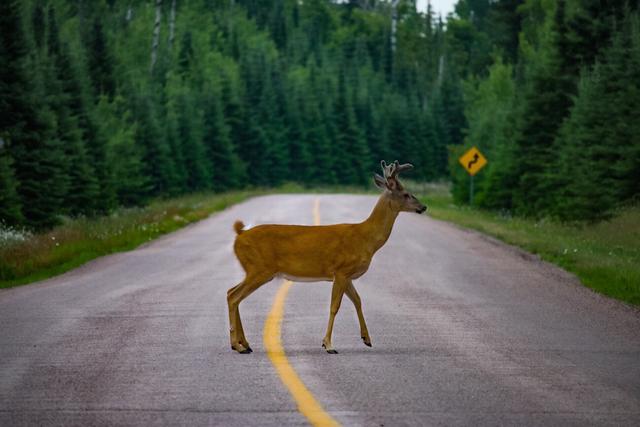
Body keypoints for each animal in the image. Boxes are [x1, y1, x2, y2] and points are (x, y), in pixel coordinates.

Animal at [227, 160, 427, 354]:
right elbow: (334, 306)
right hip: (259, 268)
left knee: (231, 292)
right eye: (407, 194)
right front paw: (328, 344)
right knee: (234, 296)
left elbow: (358, 300)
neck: (365, 238)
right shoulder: (341, 271)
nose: (423, 207)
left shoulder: (347, 276)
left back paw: (245, 344)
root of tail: (239, 235)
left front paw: (366, 339)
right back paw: (237, 345)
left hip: (255, 270)